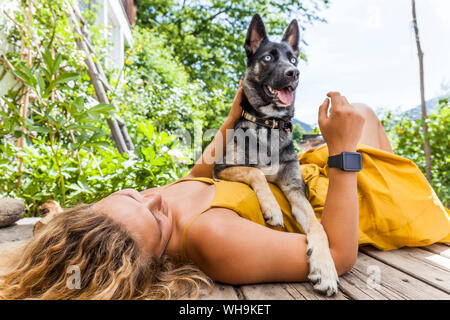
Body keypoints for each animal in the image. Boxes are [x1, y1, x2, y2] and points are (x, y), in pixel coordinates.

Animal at [214, 14, 338, 296]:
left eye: (293, 59)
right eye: (268, 57)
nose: (294, 73)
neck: (269, 123)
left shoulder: (294, 189)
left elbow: (317, 226)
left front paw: (325, 269)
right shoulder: (221, 168)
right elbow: (255, 171)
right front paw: (272, 208)